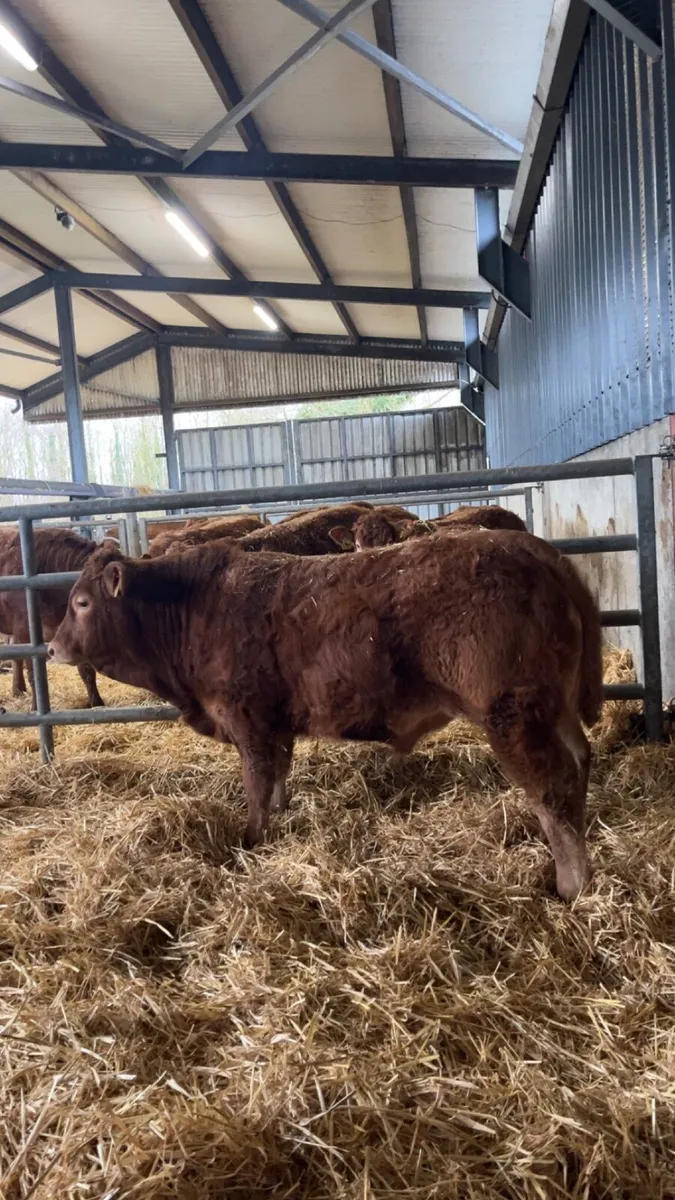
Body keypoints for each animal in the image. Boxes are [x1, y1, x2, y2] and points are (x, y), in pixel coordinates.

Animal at [0, 527, 110, 708]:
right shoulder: (26, 631)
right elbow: (34, 672)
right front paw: (37, 707)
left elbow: (86, 670)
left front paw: (97, 703)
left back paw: (18, 689)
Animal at [49, 531, 603, 900]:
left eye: (82, 602)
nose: (52, 647)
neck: (194, 608)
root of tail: (533, 549)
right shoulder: (276, 725)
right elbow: (277, 779)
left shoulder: (247, 720)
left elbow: (256, 785)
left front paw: (251, 841)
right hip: (556, 710)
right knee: (579, 763)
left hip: (514, 714)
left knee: (552, 787)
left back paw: (570, 885)